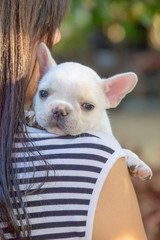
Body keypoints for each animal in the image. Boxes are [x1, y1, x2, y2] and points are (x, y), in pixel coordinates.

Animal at [26, 42, 152, 180]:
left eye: (88, 106)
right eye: (43, 93)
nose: (59, 109)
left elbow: (124, 149)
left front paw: (137, 162)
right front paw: (32, 117)